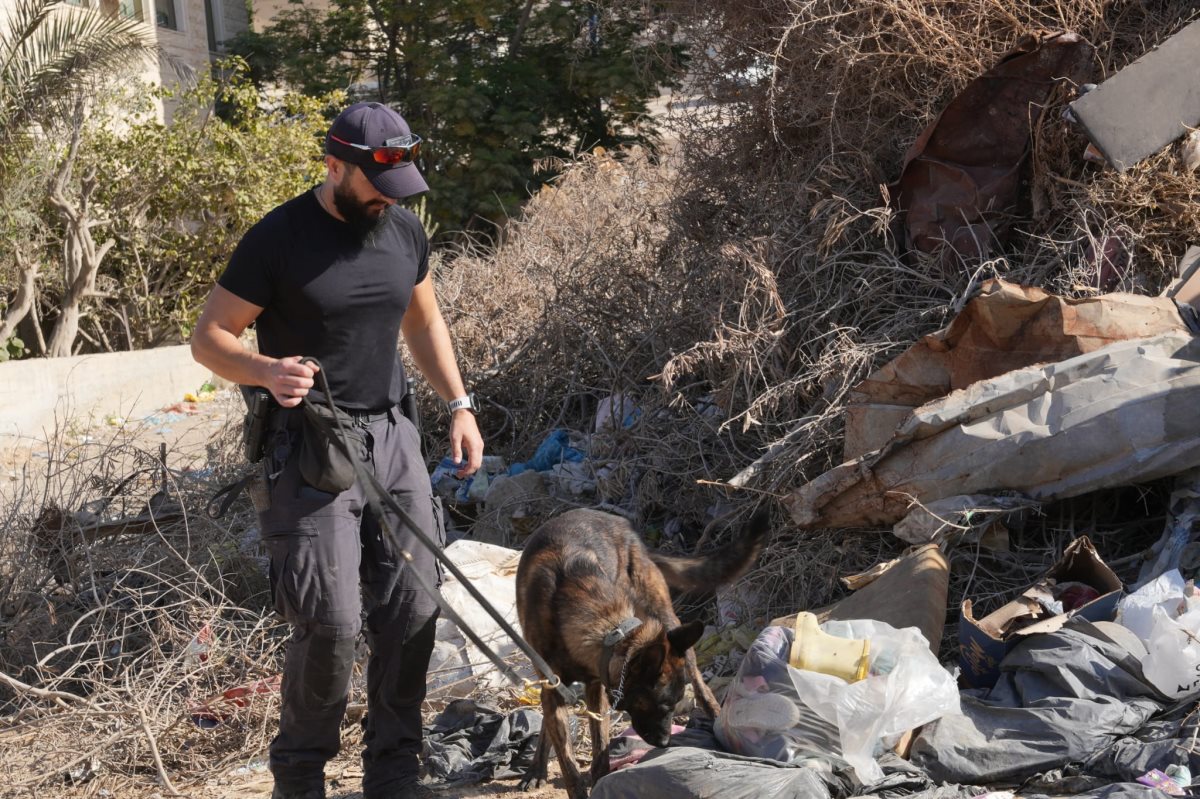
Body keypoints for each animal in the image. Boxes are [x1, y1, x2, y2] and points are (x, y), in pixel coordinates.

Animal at [516, 506, 768, 791]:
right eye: (661, 705)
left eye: (674, 705)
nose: (665, 743)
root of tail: (624, 526)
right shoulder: (556, 683)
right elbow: (568, 763)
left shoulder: (596, 687)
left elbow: (601, 751)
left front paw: (601, 781)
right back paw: (536, 769)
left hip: (667, 619)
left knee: (699, 680)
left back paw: (716, 716)